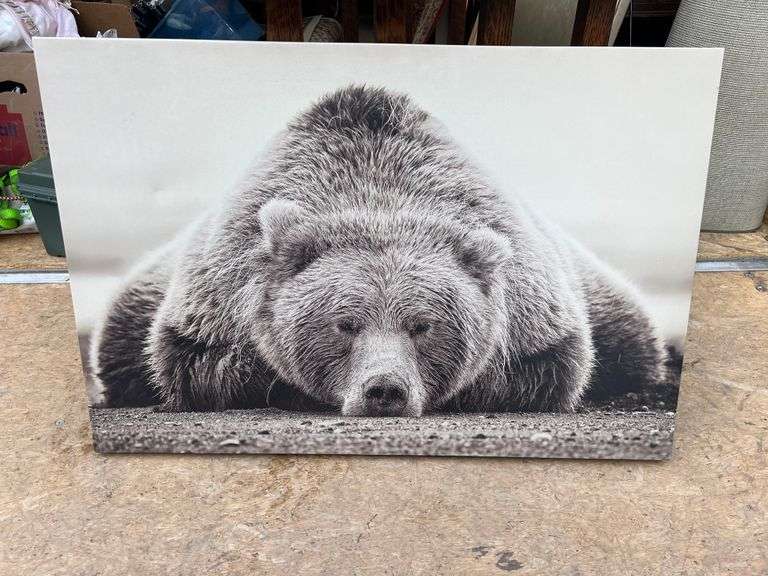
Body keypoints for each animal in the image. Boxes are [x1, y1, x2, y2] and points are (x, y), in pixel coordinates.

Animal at [90, 85, 669, 416]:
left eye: (423, 325)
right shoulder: (215, 296)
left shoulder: (535, 309)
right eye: (345, 323)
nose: (384, 390)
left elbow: (548, 367)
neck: (376, 194)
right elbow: (198, 364)